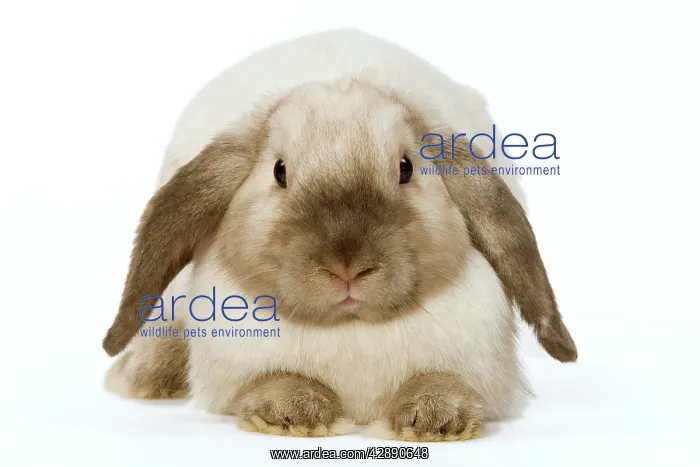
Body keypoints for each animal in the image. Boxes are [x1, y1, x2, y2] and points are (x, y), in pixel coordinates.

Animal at [102, 28, 577, 442]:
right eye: (279, 172)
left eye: (406, 168)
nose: (347, 267)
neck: (353, 331)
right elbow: (273, 381)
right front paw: (293, 414)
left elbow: (442, 380)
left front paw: (435, 420)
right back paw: (141, 378)